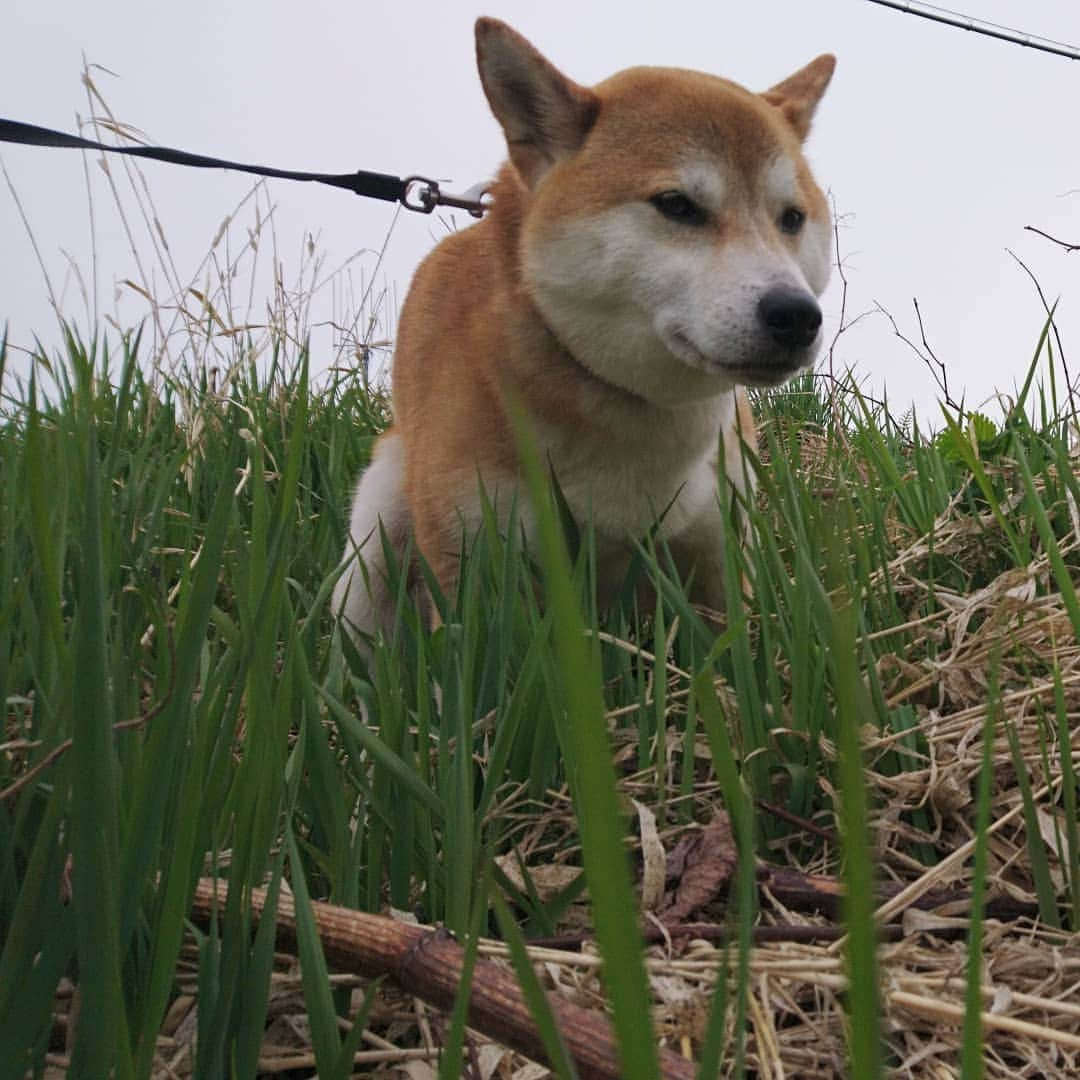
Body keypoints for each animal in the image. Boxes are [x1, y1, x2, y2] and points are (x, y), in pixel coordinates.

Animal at [334, 16, 833, 643]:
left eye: (791, 218)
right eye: (677, 205)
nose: (797, 315)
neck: (634, 420)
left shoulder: (720, 558)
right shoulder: (470, 567)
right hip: (372, 540)